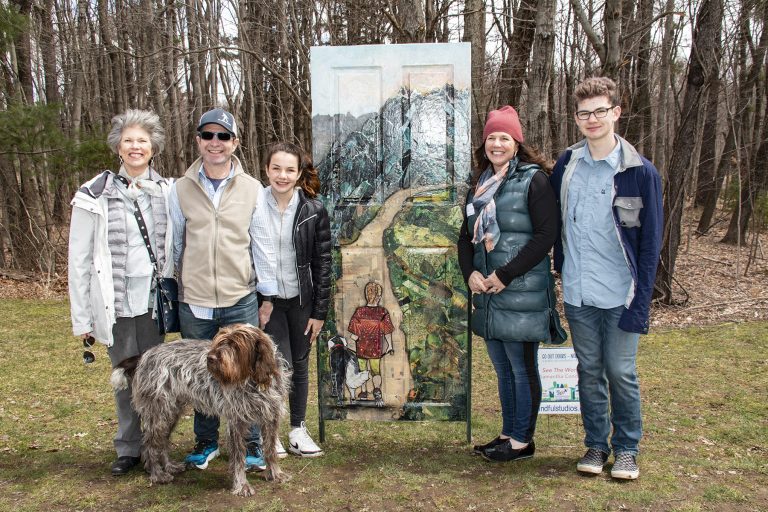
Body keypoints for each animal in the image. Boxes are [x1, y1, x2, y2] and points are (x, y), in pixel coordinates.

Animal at [112, 324, 292, 496]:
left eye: (235, 344)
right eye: (219, 341)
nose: (210, 358)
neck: (253, 380)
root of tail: (145, 355)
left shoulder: (271, 417)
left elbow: (270, 449)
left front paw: (275, 474)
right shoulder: (236, 422)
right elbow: (239, 457)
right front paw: (242, 485)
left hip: (170, 414)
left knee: (162, 442)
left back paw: (169, 466)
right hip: (158, 413)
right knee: (149, 444)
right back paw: (157, 474)